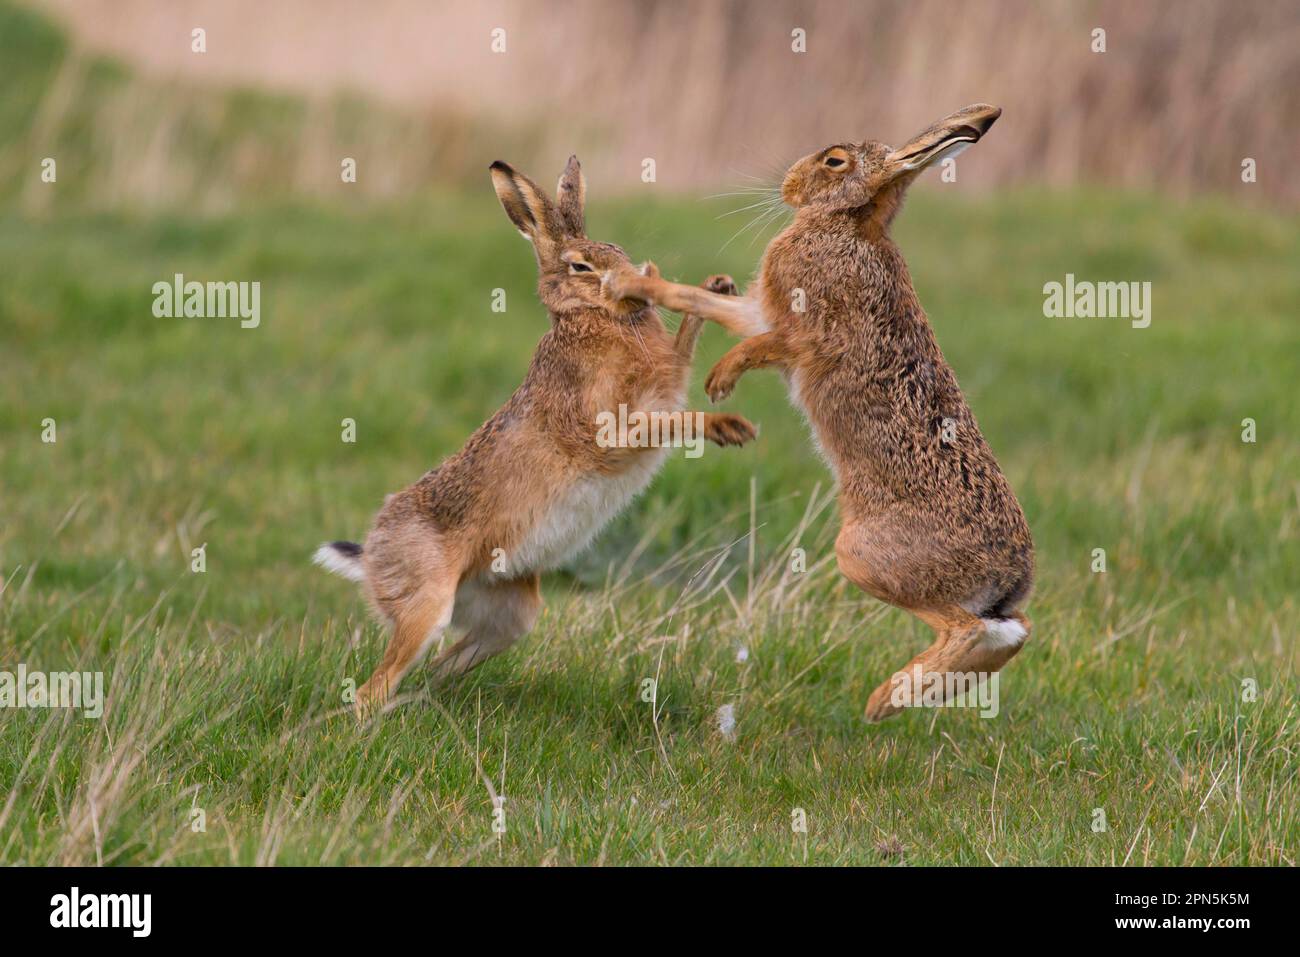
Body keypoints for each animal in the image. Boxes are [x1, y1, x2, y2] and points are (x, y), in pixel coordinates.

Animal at [315, 156, 757, 716]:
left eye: (622, 254)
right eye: (580, 267)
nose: (635, 283)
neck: (591, 319)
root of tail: (372, 554)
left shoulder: (667, 381)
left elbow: (683, 346)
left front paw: (717, 287)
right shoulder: (611, 427)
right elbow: (669, 422)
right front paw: (729, 427)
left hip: (510, 614)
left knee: (441, 665)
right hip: (427, 604)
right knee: (373, 689)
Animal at [603, 105, 1034, 722]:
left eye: (834, 161)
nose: (787, 186)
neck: (847, 223)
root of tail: (1010, 576)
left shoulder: (803, 334)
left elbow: (753, 338)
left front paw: (717, 378)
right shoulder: (761, 310)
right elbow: (702, 301)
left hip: (862, 557)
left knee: (970, 629)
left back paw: (884, 701)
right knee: (1012, 632)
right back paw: (903, 697)